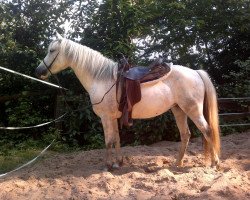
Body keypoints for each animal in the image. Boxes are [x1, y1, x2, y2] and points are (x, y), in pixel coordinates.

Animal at [35, 33, 221, 170]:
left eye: (52, 50)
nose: (39, 71)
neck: (100, 78)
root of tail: (195, 72)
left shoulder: (106, 118)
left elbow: (108, 141)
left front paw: (108, 166)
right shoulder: (113, 117)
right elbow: (117, 139)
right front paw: (118, 163)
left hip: (193, 110)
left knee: (207, 131)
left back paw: (215, 163)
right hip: (179, 110)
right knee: (185, 134)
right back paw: (178, 163)